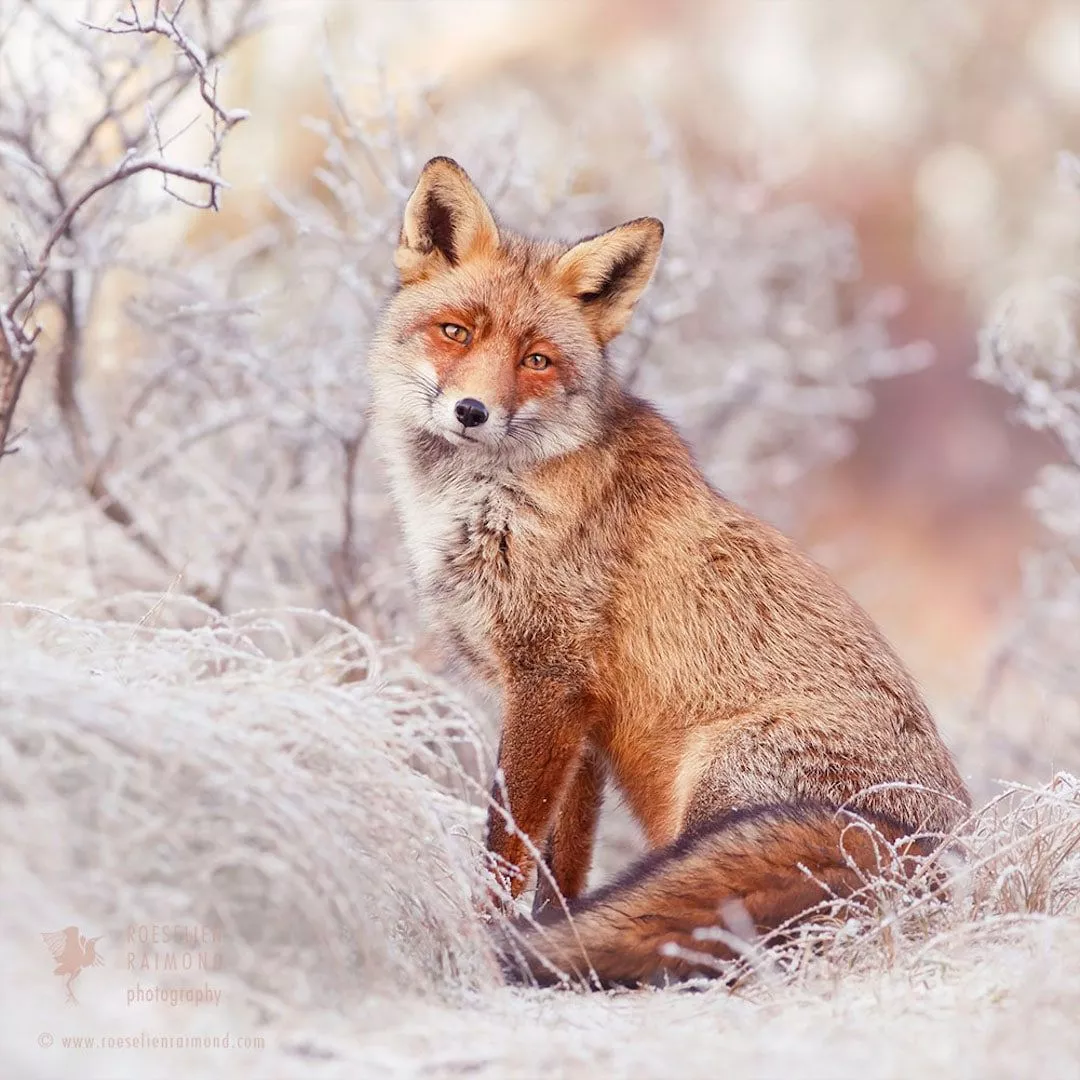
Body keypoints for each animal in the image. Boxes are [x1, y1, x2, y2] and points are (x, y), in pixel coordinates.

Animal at [367, 156, 972, 987]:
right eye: (456, 331)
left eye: (536, 360)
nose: (471, 412)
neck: (493, 505)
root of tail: (944, 860)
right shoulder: (583, 722)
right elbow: (563, 866)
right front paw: (553, 932)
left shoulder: (548, 681)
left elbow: (506, 848)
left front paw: (486, 940)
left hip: (717, 784)